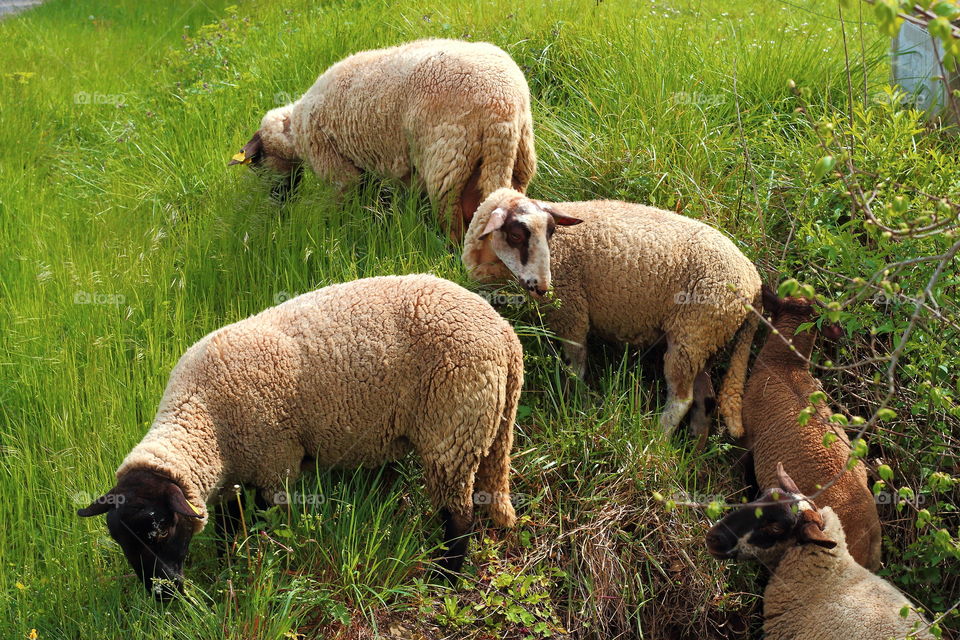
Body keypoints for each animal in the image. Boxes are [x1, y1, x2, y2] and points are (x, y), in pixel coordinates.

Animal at [78, 274, 523, 598]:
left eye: (160, 530)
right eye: (120, 541)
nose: (162, 596)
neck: (206, 420)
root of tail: (504, 335)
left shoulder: (276, 464)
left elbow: (272, 526)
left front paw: (268, 568)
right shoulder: (236, 475)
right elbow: (227, 529)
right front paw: (228, 566)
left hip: (453, 428)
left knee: (459, 516)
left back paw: (444, 580)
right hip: (481, 425)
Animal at [229, 38, 536, 242]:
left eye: (258, 164)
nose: (279, 200)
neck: (294, 130)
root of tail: (501, 105)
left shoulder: (336, 166)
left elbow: (342, 200)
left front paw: (335, 228)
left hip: (447, 155)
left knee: (451, 213)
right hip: (518, 153)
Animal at [462, 188, 761, 438]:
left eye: (551, 234)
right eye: (515, 235)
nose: (543, 287)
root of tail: (754, 280)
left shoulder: (572, 313)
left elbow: (576, 368)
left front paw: (576, 407)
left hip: (693, 331)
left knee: (682, 398)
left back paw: (657, 438)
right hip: (707, 336)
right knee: (705, 398)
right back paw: (692, 447)